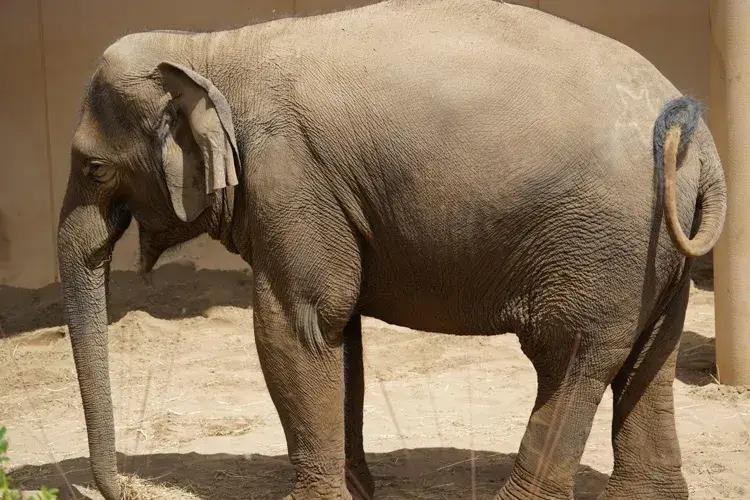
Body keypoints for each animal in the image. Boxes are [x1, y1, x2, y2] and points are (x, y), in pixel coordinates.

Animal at [58, 0, 728, 500]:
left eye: (93, 168)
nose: (124, 488)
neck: (208, 52)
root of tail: (697, 137)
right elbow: (338, 330)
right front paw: (355, 492)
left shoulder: (291, 176)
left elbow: (295, 326)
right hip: (657, 250)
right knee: (650, 355)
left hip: (602, 243)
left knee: (573, 357)